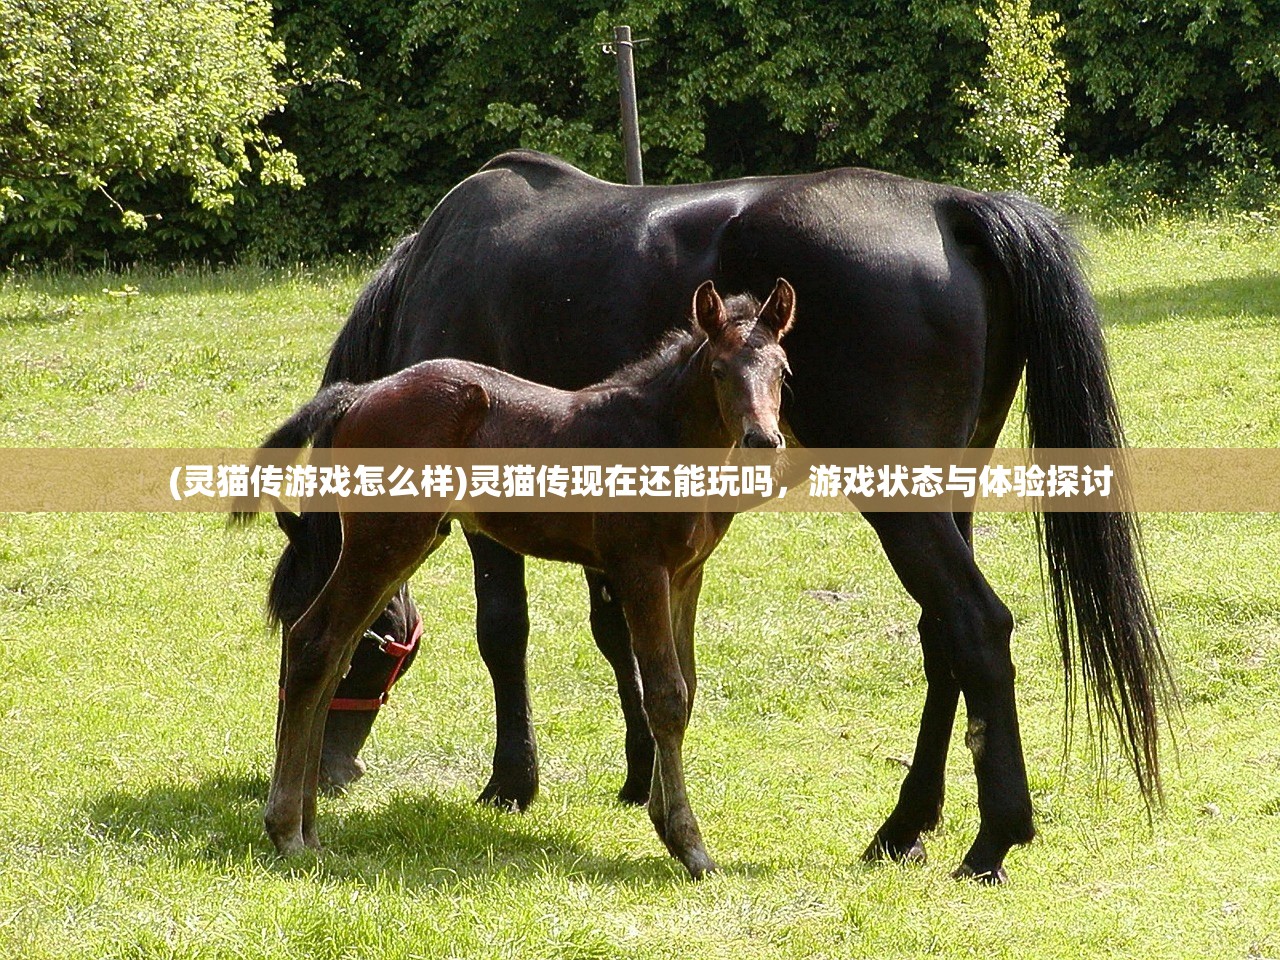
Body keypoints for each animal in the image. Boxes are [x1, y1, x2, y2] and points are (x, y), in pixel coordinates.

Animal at [259, 152, 1172, 885]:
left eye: (382, 654)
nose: (335, 770)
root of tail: (952, 206)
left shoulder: (503, 526)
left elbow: (504, 632)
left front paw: (514, 783)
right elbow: (623, 640)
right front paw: (640, 779)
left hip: (903, 497)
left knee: (975, 624)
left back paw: (991, 841)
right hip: (949, 488)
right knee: (942, 631)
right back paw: (905, 827)